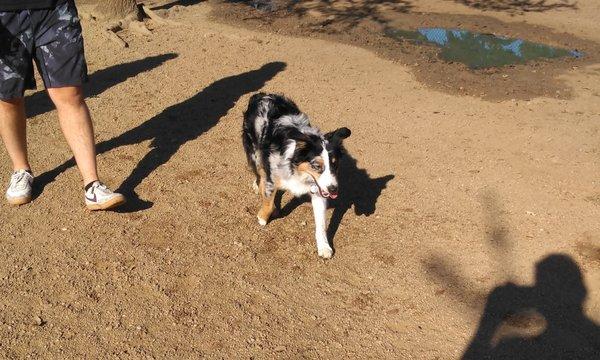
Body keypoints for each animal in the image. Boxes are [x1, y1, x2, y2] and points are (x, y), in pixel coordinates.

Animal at [241, 91, 350, 258]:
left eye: (335, 164)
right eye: (317, 166)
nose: (334, 189)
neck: (298, 169)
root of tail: (262, 95)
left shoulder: (319, 191)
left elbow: (321, 223)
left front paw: (324, 247)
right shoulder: (272, 176)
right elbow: (268, 200)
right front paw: (263, 217)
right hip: (255, 151)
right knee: (259, 170)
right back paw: (258, 185)